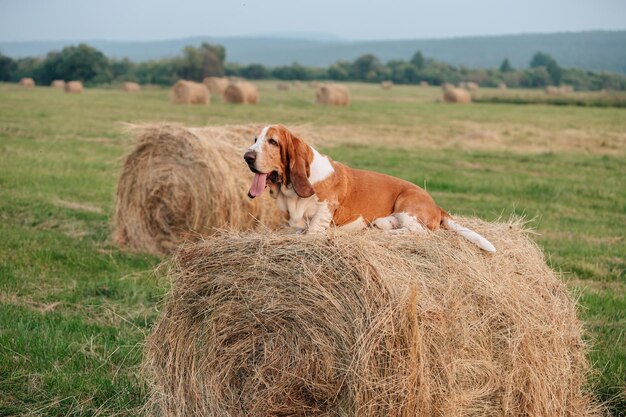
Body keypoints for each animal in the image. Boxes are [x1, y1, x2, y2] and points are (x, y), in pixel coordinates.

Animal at [243, 125, 492, 252]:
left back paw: (390, 233)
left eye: (273, 142)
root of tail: (436, 205)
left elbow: (311, 231)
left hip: (407, 203)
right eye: (255, 139)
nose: (247, 156)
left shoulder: (318, 222)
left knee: (420, 232)